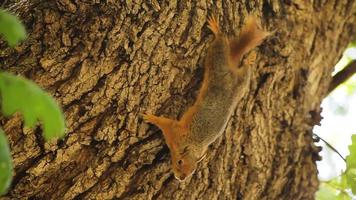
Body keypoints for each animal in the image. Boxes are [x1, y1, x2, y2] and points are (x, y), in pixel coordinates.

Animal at [142, 15, 270, 181]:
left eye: (192, 171)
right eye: (180, 162)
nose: (181, 178)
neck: (191, 144)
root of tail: (232, 75)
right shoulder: (175, 132)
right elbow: (165, 123)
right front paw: (151, 118)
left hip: (238, 81)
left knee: (240, 65)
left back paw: (244, 57)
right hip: (219, 63)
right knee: (222, 45)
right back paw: (222, 34)